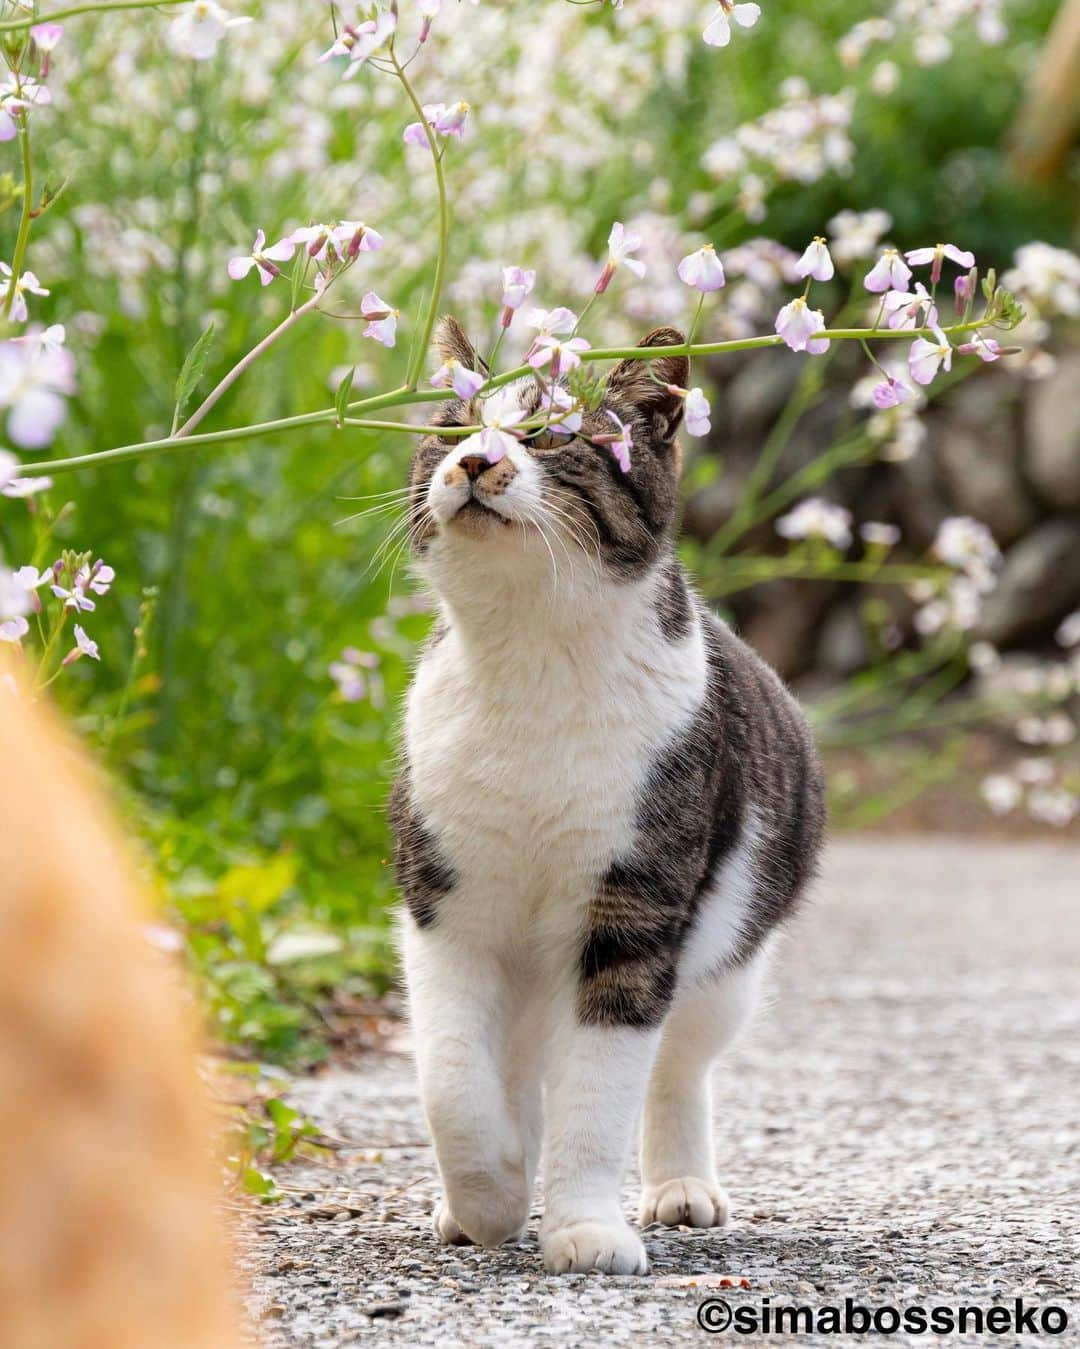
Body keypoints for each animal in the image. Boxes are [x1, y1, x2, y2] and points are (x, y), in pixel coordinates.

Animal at [391, 315, 825, 1273]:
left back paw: (680, 1185)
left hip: (728, 954)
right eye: (454, 426)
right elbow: (450, 1075)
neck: (533, 666)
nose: (474, 460)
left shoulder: (634, 912)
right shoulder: (445, 903)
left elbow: (600, 1088)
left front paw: (584, 1225)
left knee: (679, 1063)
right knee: (514, 1064)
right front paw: (488, 1196)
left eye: (551, 432)